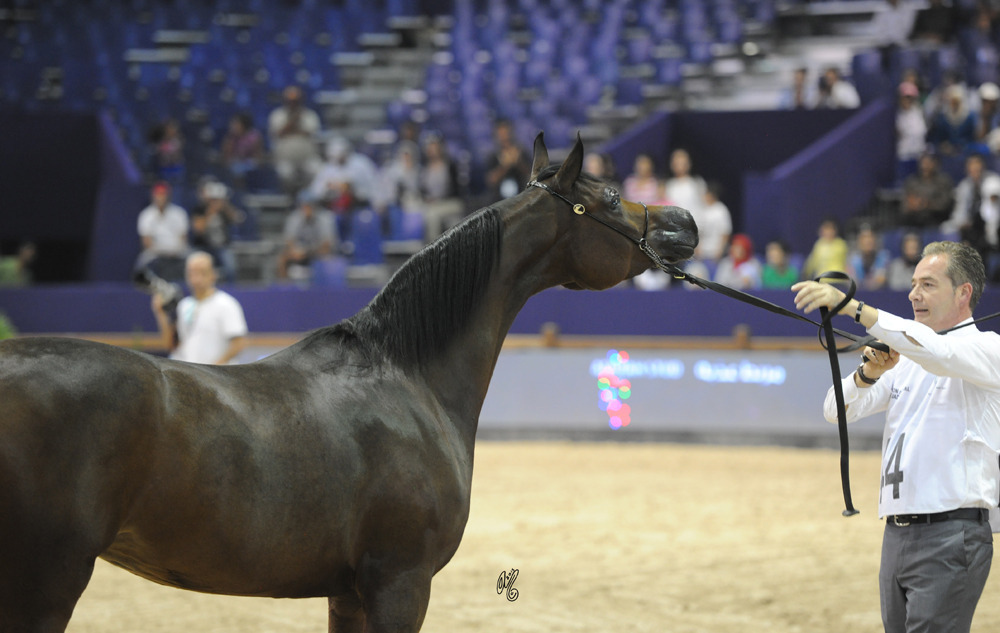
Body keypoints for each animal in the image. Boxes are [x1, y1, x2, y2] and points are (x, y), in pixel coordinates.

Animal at [0, 133, 697, 633]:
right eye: (611, 199)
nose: (685, 222)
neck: (407, 377)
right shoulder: (400, 583)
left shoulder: (348, 592)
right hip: (47, 585)